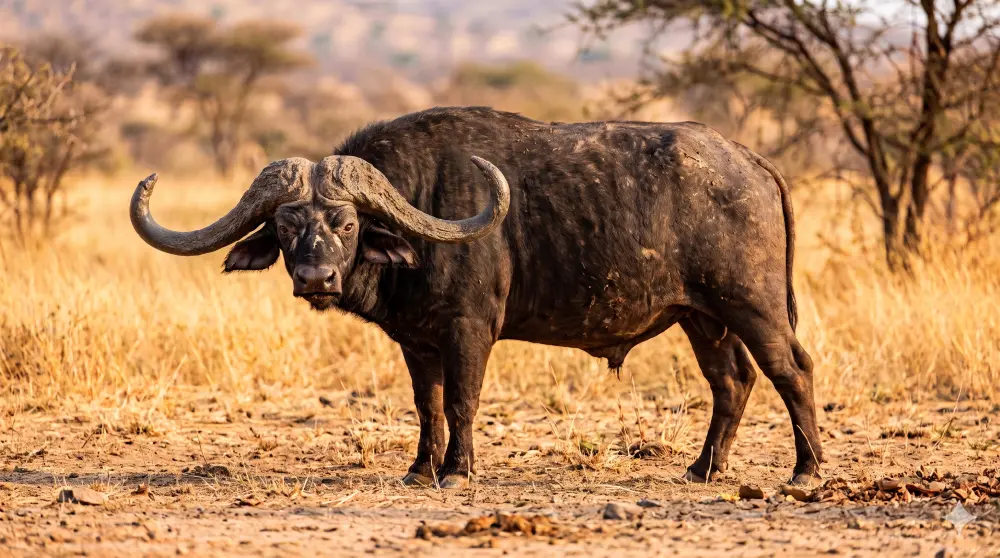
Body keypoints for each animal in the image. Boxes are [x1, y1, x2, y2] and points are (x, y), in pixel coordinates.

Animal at [130, 106, 823, 489]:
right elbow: (428, 407)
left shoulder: (469, 332)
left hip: (752, 306)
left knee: (792, 369)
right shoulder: (416, 344)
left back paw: (806, 468)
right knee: (733, 380)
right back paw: (705, 468)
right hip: (702, 318)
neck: (422, 204)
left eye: (346, 224)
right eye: (284, 225)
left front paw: (457, 471)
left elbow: (463, 401)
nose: (315, 277)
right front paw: (420, 469)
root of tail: (750, 160)